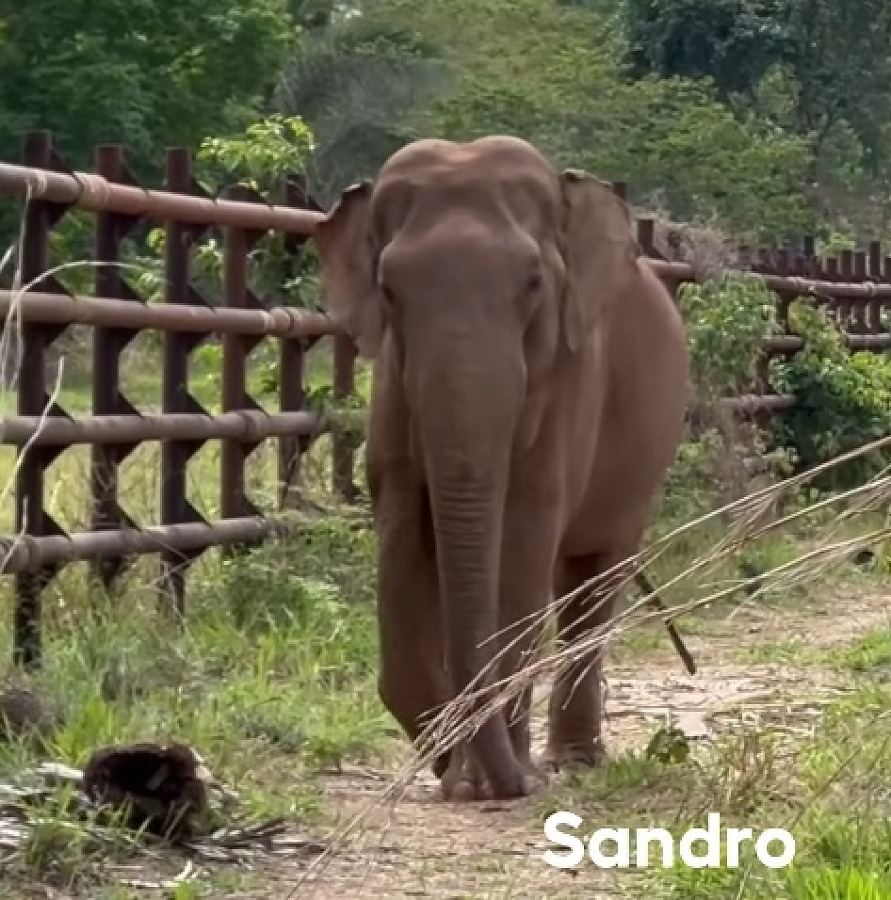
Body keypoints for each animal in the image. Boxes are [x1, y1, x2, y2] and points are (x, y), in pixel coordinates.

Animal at [314, 135, 690, 803]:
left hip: (644, 468)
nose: (505, 783)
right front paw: (456, 773)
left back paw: (571, 762)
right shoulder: (392, 386)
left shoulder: (572, 377)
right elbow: (401, 526)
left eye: (534, 283)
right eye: (389, 290)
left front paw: (498, 780)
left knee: (593, 581)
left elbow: (522, 531)